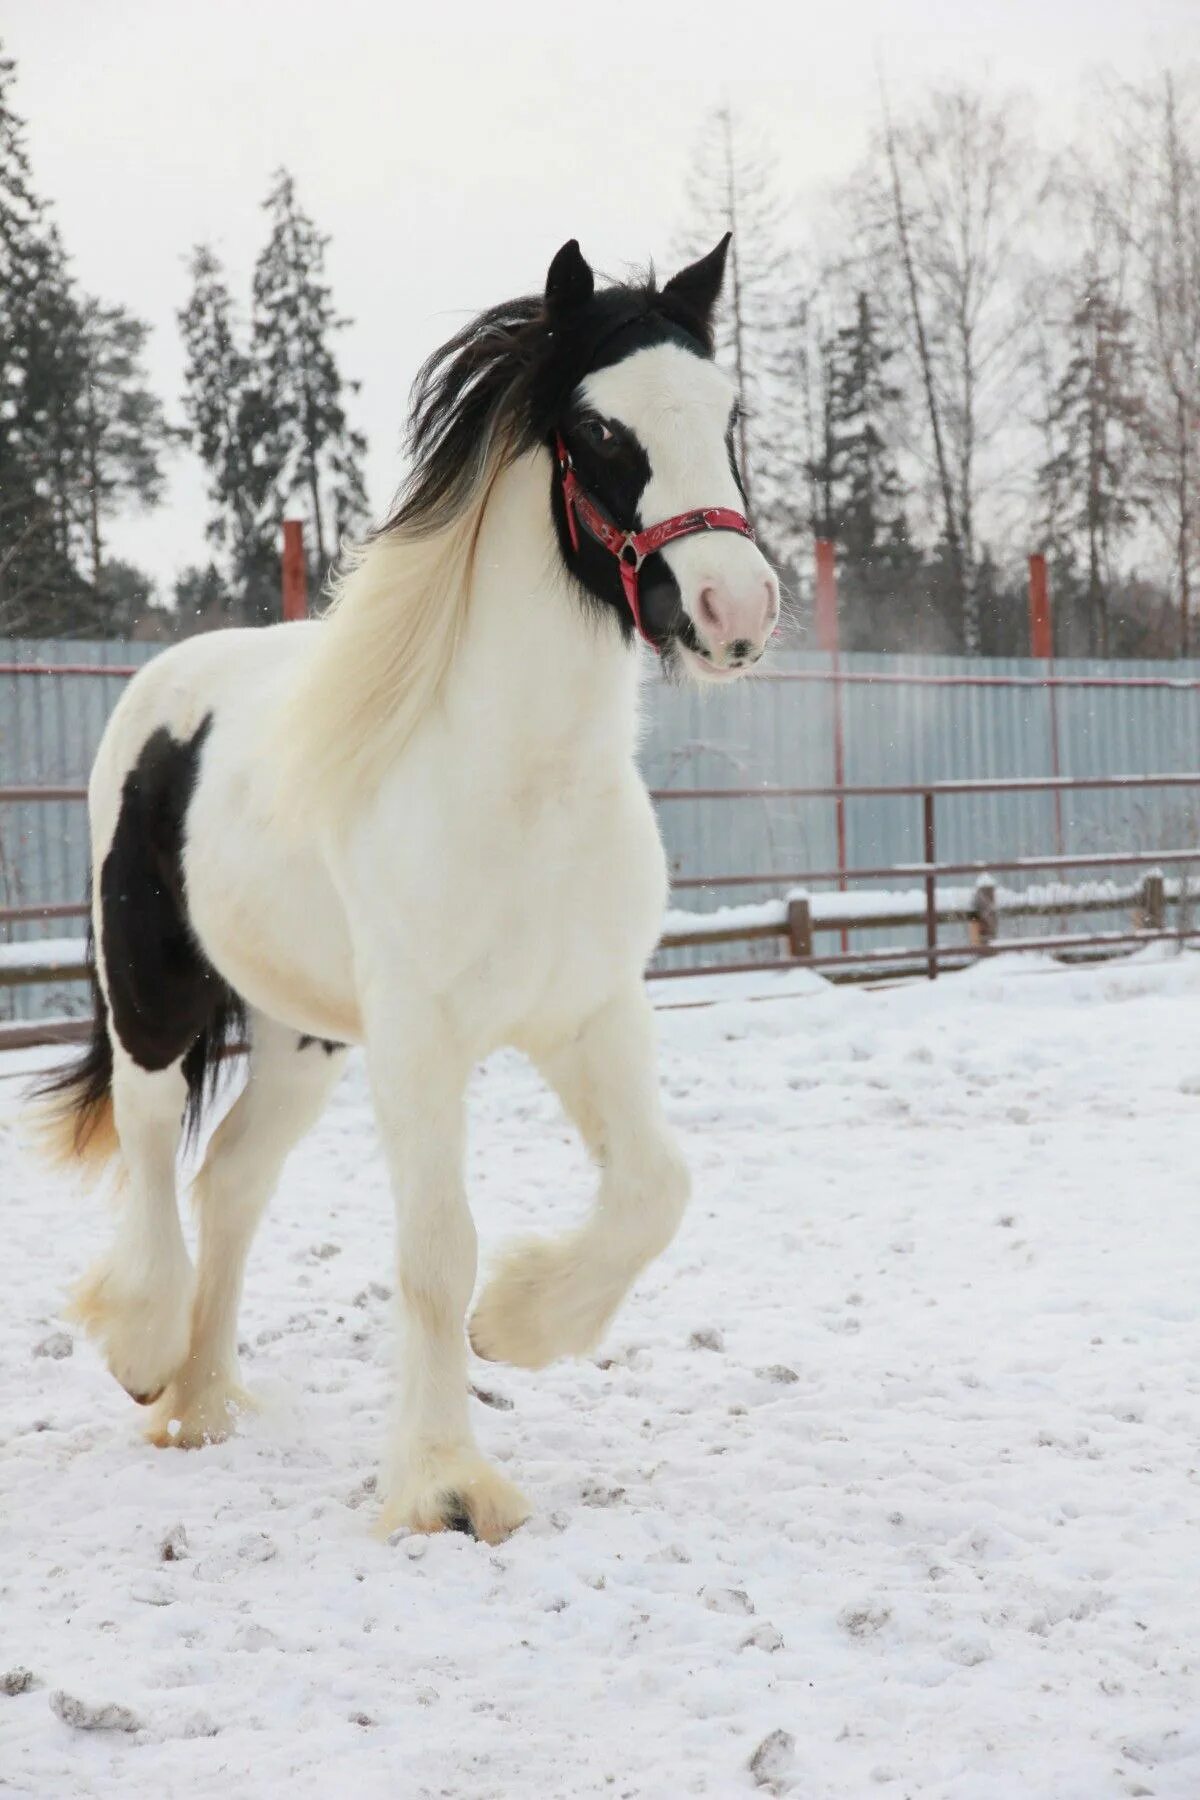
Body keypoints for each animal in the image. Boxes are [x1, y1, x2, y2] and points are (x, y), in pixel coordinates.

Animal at [32, 232, 784, 1540]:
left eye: (728, 412)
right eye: (600, 430)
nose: (735, 612)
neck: (523, 784)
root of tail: (165, 688)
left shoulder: (590, 1014)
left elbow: (654, 1188)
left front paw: (523, 1324)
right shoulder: (424, 1040)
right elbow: (436, 1247)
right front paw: (445, 1485)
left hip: (301, 1038)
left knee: (232, 1181)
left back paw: (202, 1405)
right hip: (153, 997)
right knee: (151, 1143)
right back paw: (143, 1350)